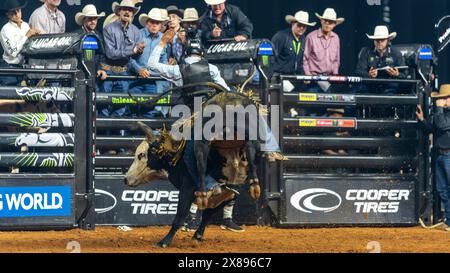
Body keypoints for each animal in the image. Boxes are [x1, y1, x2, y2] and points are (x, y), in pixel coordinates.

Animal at [124, 86, 264, 248]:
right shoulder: (229, 191)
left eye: (141, 155)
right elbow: (207, 214)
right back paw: (254, 184)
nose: (125, 179)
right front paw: (197, 236)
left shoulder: (188, 187)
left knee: (202, 160)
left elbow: (180, 216)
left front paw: (164, 242)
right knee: (250, 146)